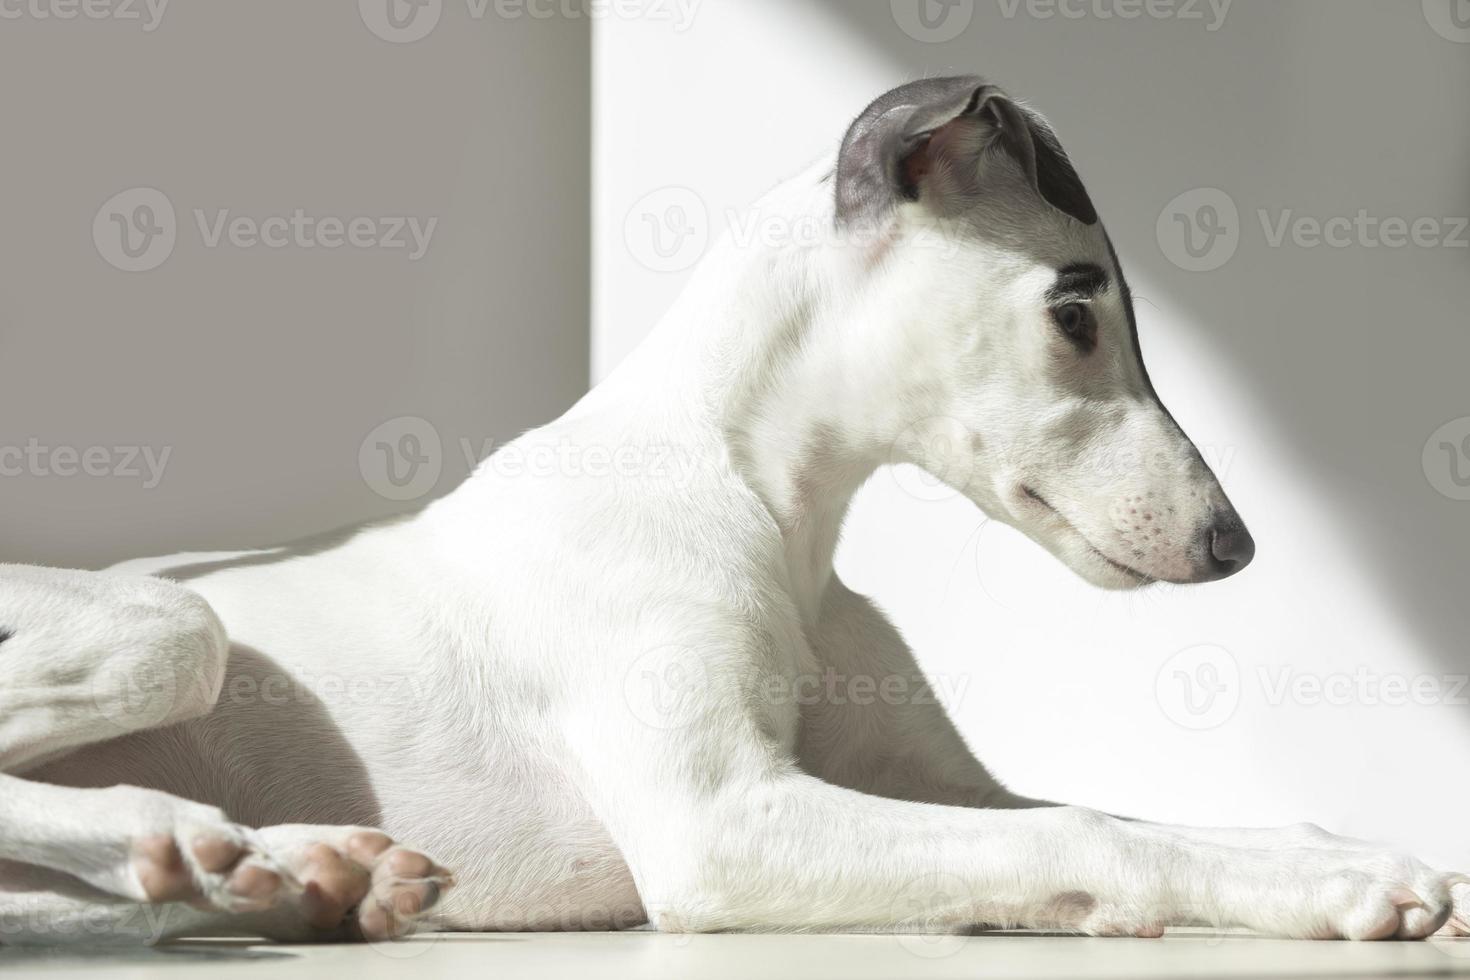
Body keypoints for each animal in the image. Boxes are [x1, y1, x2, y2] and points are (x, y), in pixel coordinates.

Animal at [2, 80, 1470, 946]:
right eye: (1075, 309)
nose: (1236, 545)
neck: (766, 507)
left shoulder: (941, 790)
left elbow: (1123, 819)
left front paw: (1335, 852)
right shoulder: (719, 822)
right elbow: (1087, 829)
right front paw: (1346, 887)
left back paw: (295, 871)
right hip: (168, 623)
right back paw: (203, 839)